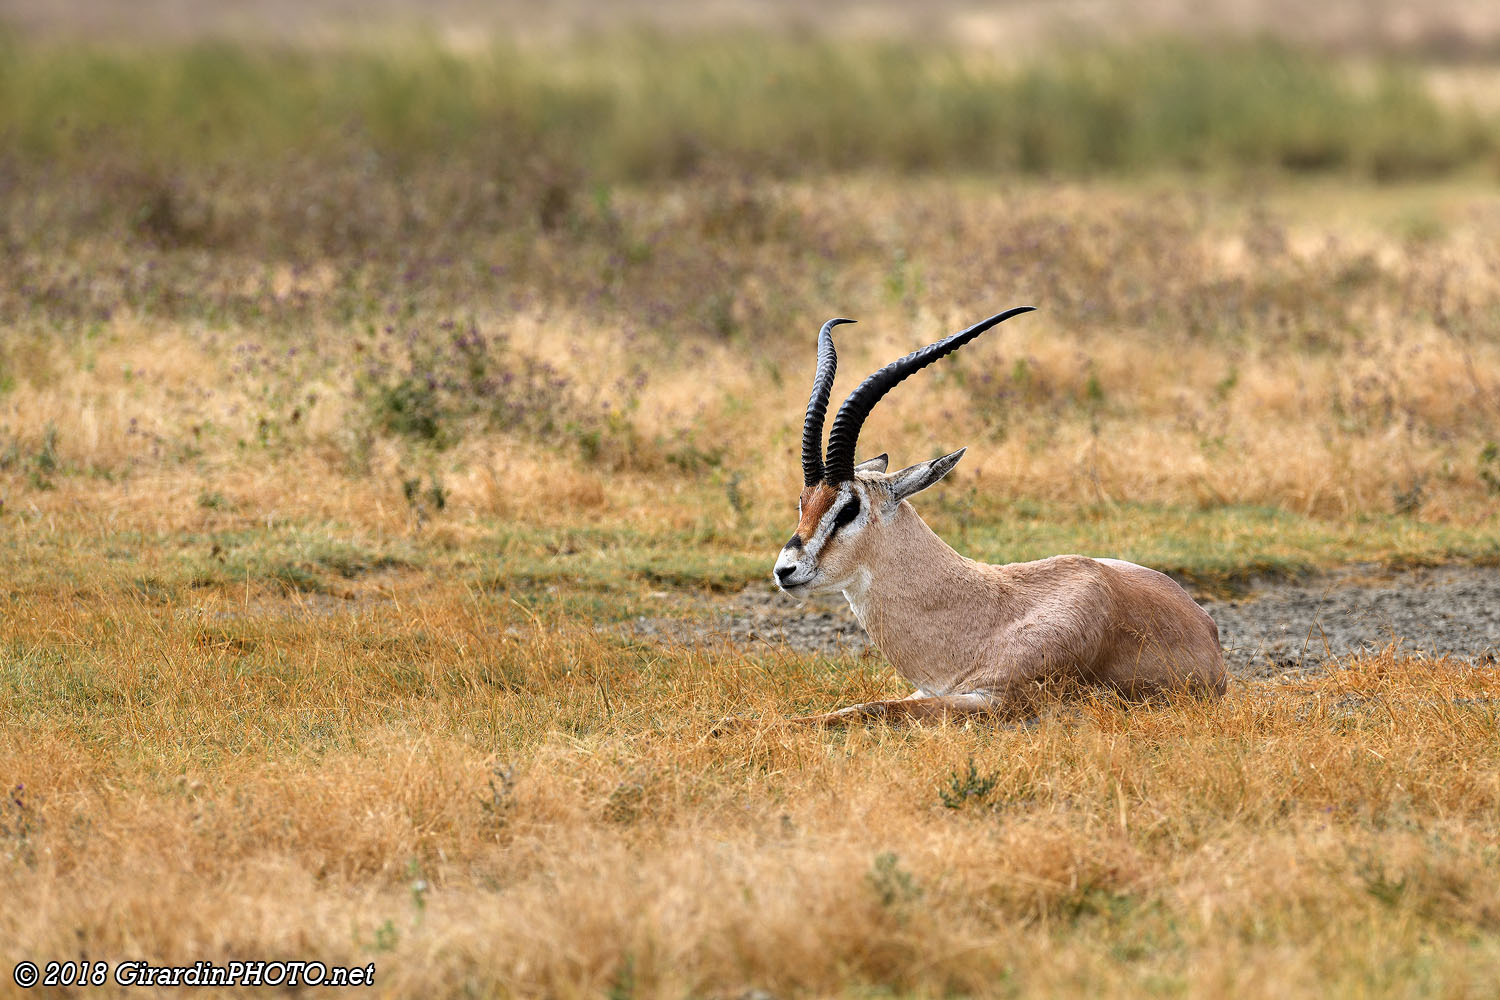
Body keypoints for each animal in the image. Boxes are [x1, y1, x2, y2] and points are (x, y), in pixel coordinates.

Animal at [771, 308, 1226, 726]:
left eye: (849, 508)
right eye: (803, 501)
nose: (784, 570)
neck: (986, 618)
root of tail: (1207, 625)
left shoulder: (996, 699)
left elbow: (874, 706)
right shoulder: (928, 689)